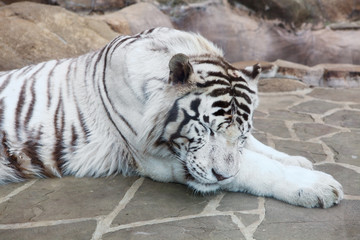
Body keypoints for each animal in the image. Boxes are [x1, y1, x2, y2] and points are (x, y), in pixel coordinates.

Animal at [0, 27, 344, 208]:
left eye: (241, 132)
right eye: (205, 128)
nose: (221, 177)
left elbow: (257, 150)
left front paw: (298, 160)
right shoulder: (157, 158)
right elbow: (252, 166)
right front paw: (318, 185)